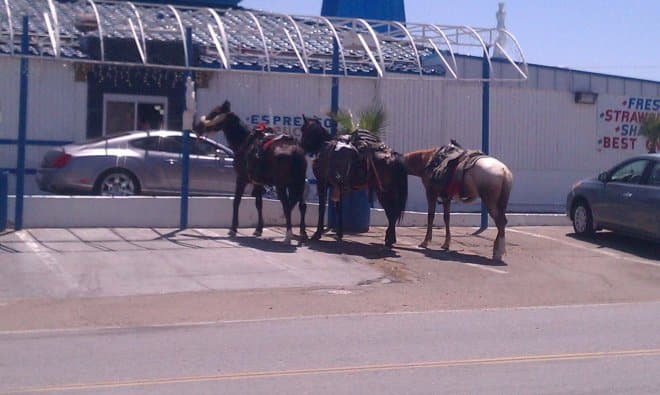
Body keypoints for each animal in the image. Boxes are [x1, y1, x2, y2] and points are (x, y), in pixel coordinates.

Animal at [193, 101, 306, 244]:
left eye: (214, 113)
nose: (197, 127)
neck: (244, 142)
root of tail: (296, 151)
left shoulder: (241, 179)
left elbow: (236, 201)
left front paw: (233, 228)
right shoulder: (257, 183)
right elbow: (259, 204)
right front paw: (258, 229)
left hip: (282, 186)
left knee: (287, 206)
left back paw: (288, 236)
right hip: (298, 184)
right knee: (302, 206)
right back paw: (302, 234)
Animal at [300, 116, 408, 249]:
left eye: (303, 130)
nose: (300, 146)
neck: (324, 148)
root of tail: (393, 155)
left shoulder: (322, 183)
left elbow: (322, 208)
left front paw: (317, 233)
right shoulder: (337, 186)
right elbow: (339, 208)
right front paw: (339, 233)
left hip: (384, 192)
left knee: (391, 213)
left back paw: (389, 240)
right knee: (392, 213)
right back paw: (390, 239)